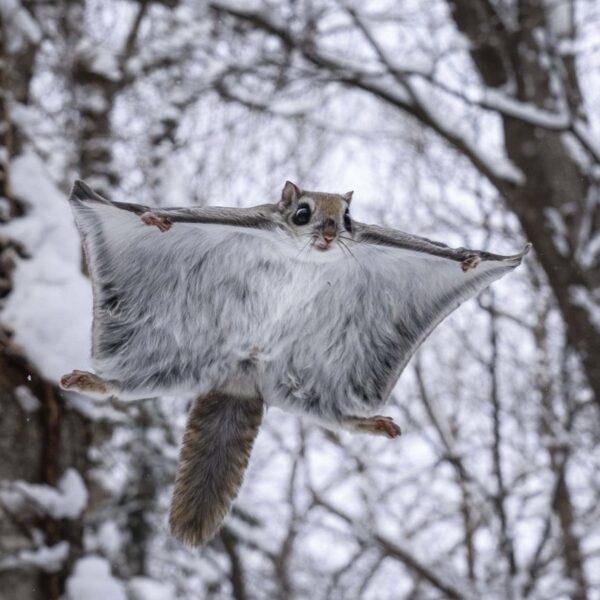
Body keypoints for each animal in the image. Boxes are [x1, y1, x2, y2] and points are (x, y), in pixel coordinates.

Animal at [59, 178, 528, 544]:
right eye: (303, 213)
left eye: (348, 219)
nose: (329, 234)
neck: (303, 257)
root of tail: (242, 380)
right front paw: (154, 218)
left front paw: (469, 259)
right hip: (161, 360)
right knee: (125, 387)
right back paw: (92, 382)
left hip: (317, 385)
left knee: (337, 417)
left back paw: (370, 423)